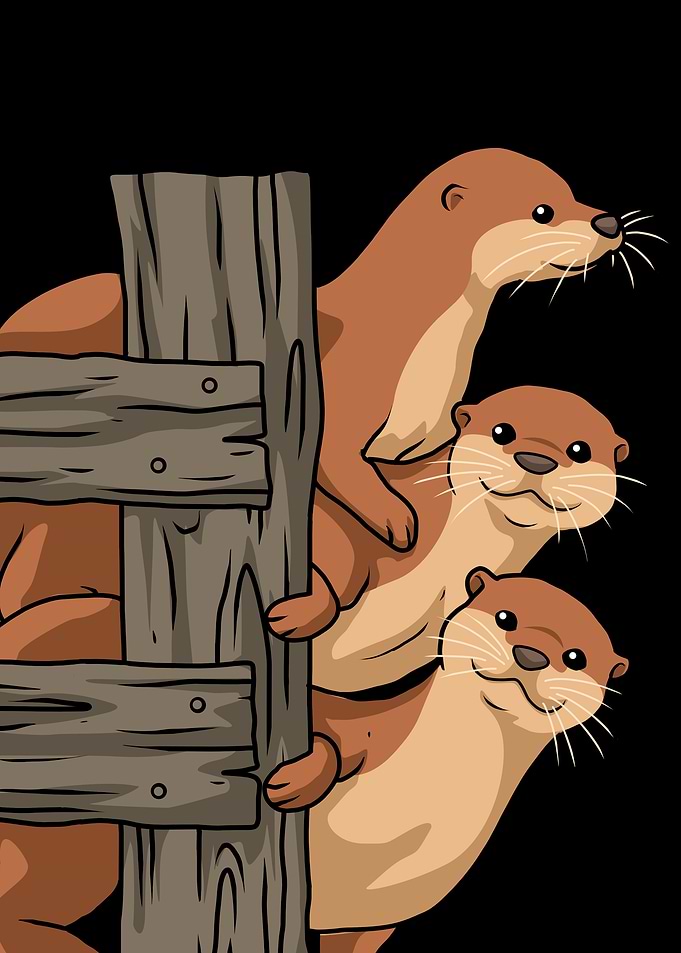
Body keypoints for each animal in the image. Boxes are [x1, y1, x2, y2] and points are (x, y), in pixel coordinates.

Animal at [266, 571, 629, 953]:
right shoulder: (362, 725)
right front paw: (293, 782)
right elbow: (329, 728)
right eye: (505, 617)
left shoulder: (368, 924)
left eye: (576, 657)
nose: (531, 654)